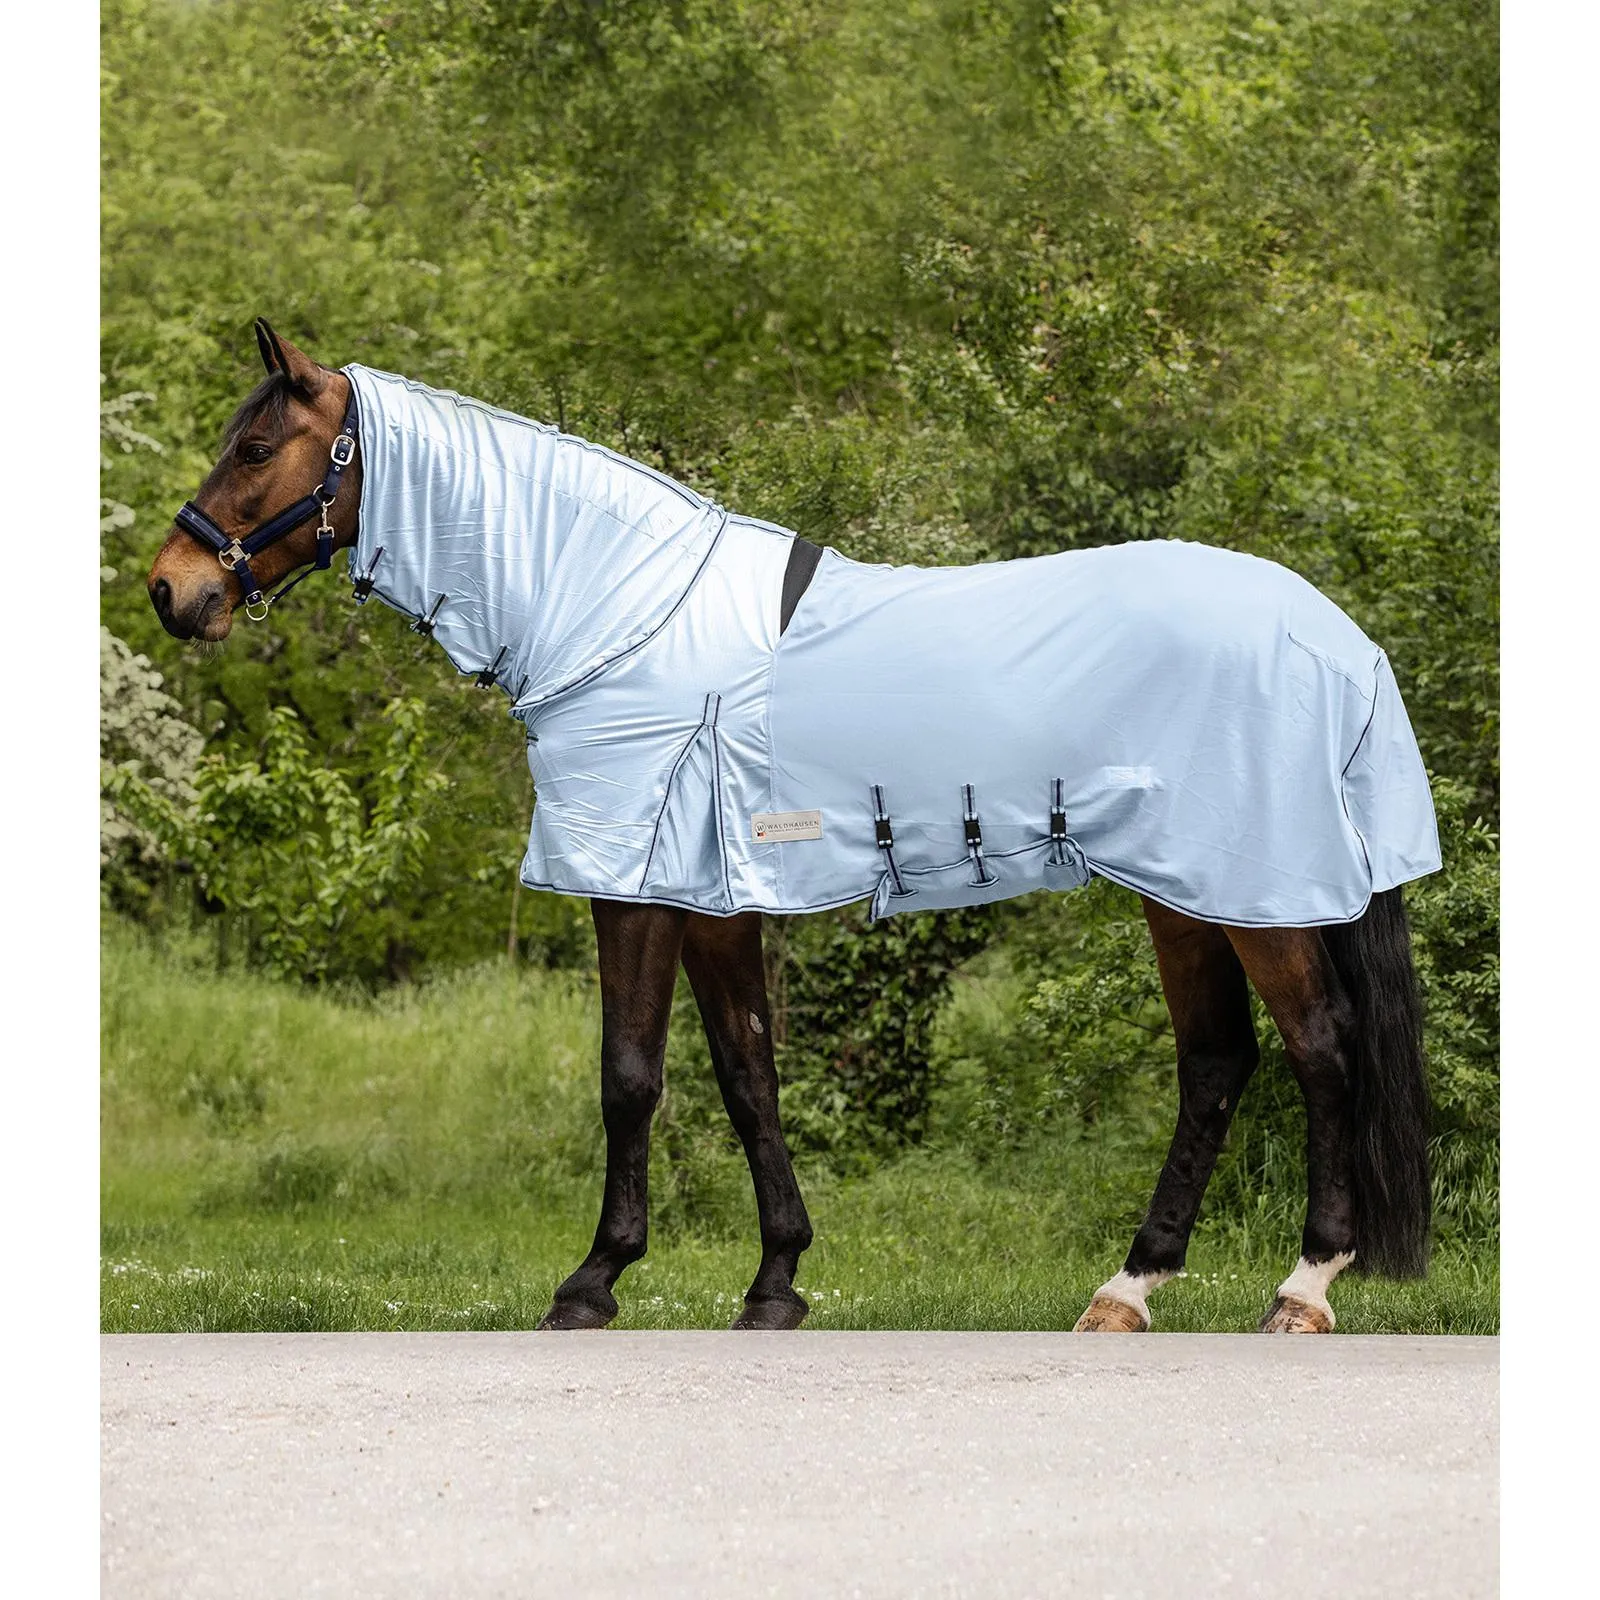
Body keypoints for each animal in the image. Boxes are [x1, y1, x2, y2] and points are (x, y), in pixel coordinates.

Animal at [146, 320, 1437, 1335]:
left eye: (256, 447)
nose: (169, 589)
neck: (615, 606)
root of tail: (1334, 633)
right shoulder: (715, 900)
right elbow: (747, 1073)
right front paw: (775, 1281)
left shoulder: (637, 888)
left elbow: (631, 1076)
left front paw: (593, 1280)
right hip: (1187, 894)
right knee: (1216, 1062)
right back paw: (1128, 1289)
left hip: (1254, 894)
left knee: (1321, 1047)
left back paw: (1302, 1287)